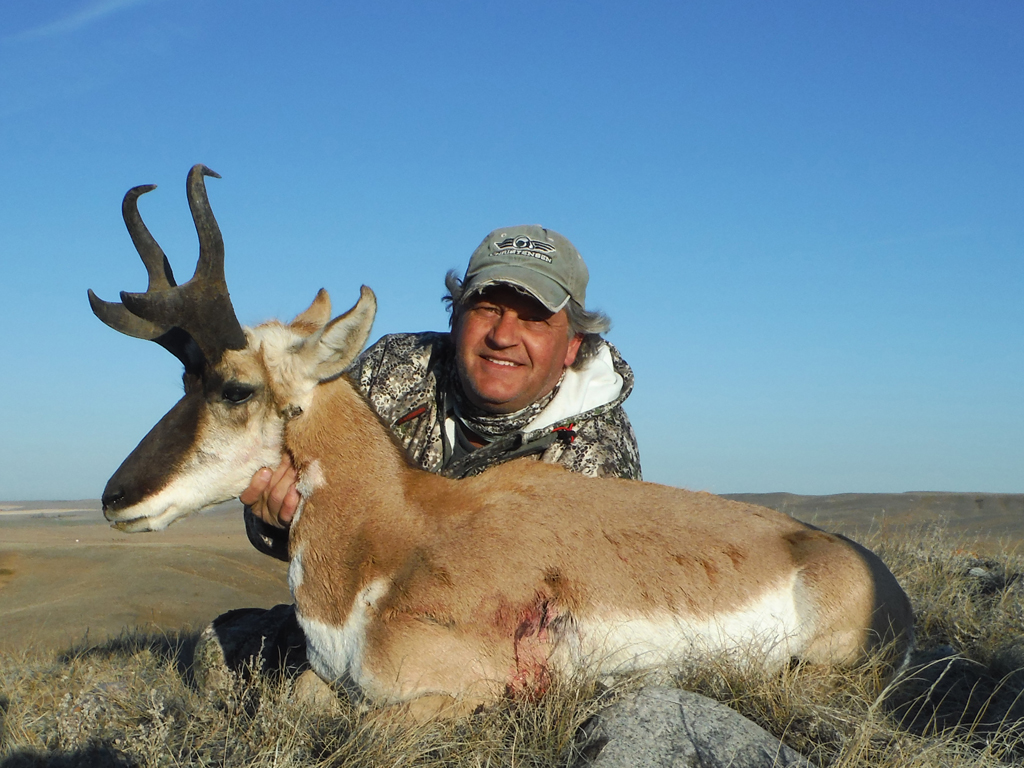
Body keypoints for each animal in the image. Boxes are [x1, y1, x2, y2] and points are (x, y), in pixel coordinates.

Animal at [92, 165, 917, 720]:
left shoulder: (443, 696)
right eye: (185, 378)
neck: (395, 533)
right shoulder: (321, 682)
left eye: (235, 387)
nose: (113, 498)